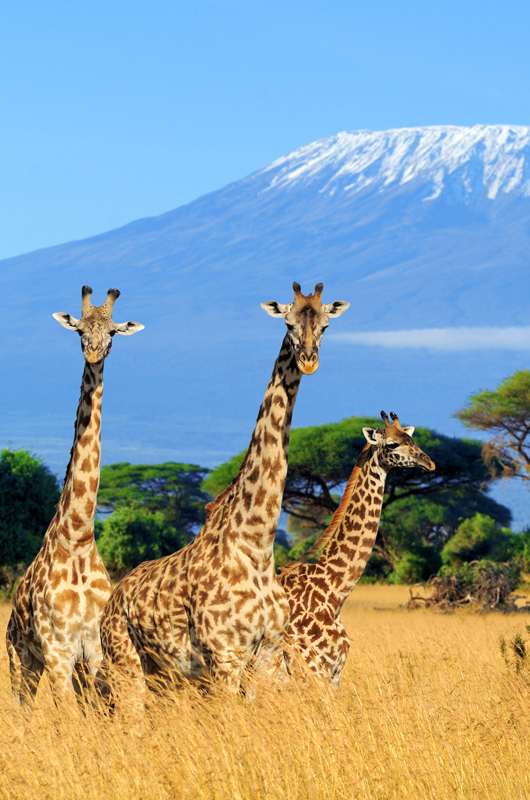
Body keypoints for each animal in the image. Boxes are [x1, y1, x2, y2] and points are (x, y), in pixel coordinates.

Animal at [6, 286, 144, 709]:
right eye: (80, 329)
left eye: (113, 331)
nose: (94, 352)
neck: (79, 536)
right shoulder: (57, 651)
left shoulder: (94, 651)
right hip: (21, 659)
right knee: (23, 707)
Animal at [98, 282, 349, 707]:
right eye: (288, 322)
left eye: (326, 325)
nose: (309, 360)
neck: (257, 543)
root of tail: (111, 602)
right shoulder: (225, 656)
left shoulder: (267, 655)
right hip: (125, 663)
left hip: (163, 674)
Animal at [278, 411, 435, 688]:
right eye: (392, 444)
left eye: (411, 439)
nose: (430, 464)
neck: (333, 592)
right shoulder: (310, 672)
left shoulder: (334, 674)